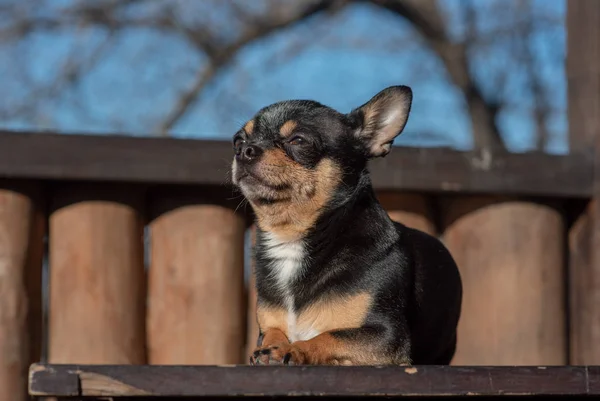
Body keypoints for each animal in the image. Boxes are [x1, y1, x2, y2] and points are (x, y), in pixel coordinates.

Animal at [232, 85, 462, 366]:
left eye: (298, 140)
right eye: (238, 141)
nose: (244, 150)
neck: (292, 237)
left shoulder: (386, 337)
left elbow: (328, 336)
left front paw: (294, 349)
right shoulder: (265, 328)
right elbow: (272, 333)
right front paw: (274, 347)